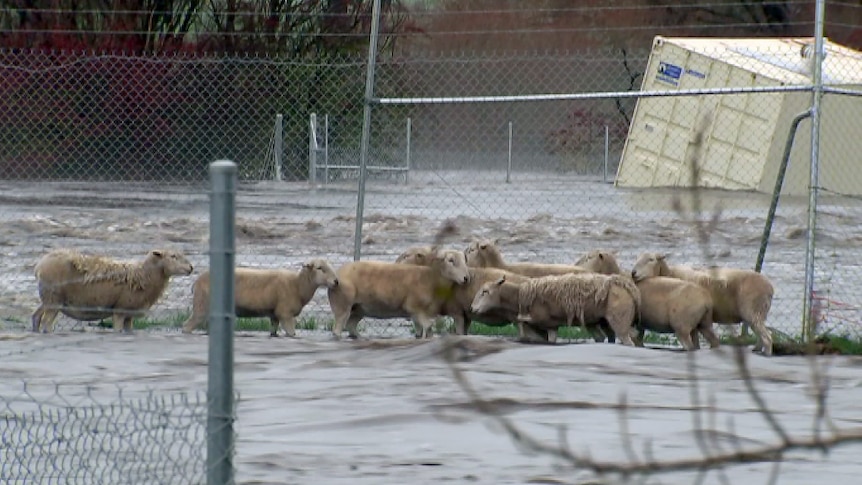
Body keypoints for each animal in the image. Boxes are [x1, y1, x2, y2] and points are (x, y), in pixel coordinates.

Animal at [31, 250, 194, 332]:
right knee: (46, 322)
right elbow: (118, 330)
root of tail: (39, 265)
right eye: (173, 256)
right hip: (53, 300)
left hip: (48, 299)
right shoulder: (120, 310)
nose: (191, 267)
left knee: (36, 317)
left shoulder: (129, 314)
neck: (144, 275)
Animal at [183, 258, 340, 336]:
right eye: (319, 268)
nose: (336, 281)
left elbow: (273, 332)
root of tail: (196, 282)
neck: (297, 285)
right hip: (202, 306)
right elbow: (292, 334)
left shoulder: (275, 316)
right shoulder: (286, 314)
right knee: (187, 325)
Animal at [328, 248, 472, 338]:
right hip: (342, 306)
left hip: (359, 309)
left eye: (465, 261)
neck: (430, 277)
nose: (466, 278)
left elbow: (423, 331)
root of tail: (337, 273)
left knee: (351, 326)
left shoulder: (416, 314)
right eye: (451, 260)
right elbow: (428, 327)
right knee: (337, 330)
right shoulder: (415, 308)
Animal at [472, 272, 640, 344]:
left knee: (628, 340)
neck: (520, 296)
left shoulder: (547, 324)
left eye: (485, 291)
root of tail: (627, 285)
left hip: (619, 320)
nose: (472, 308)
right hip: (601, 322)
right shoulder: (543, 326)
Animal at [632, 253, 780, 356]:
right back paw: (757, 349)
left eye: (651, 259)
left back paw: (766, 353)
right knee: (762, 333)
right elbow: (695, 339)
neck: (670, 273)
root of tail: (770, 287)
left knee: (767, 336)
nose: (633, 273)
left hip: (753, 311)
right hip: (758, 312)